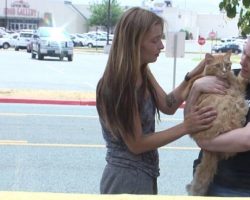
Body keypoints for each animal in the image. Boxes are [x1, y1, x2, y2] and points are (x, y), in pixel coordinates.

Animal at [186, 51, 248, 195]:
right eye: (218, 65)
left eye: (227, 64)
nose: (225, 71)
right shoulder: (238, 85)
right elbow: (243, 77)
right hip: (232, 105)